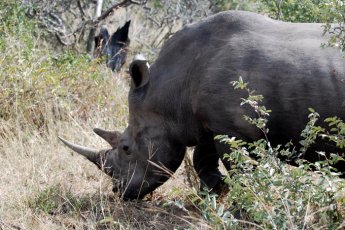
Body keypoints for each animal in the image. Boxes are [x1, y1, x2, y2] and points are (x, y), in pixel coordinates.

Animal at [59, 10, 344, 199]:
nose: (119, 191)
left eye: (127, 148)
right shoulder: (208, 123)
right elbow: (202, 158)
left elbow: (240, 170)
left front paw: (242, 204)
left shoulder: (234, 129)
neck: (171, 88)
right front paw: (216, 192)